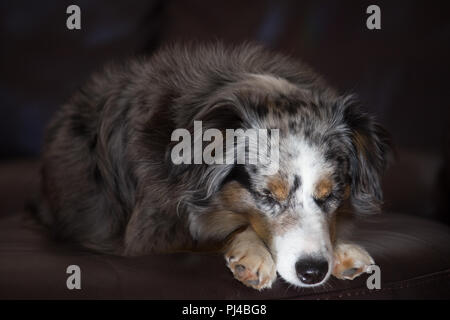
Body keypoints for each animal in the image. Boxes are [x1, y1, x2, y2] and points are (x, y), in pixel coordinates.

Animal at [39, 43, 390, 290]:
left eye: (331, 195)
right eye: (266, 196)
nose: (313, 272)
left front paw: (341, 250)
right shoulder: (149, 233)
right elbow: (223, 228)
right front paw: (252, 255)